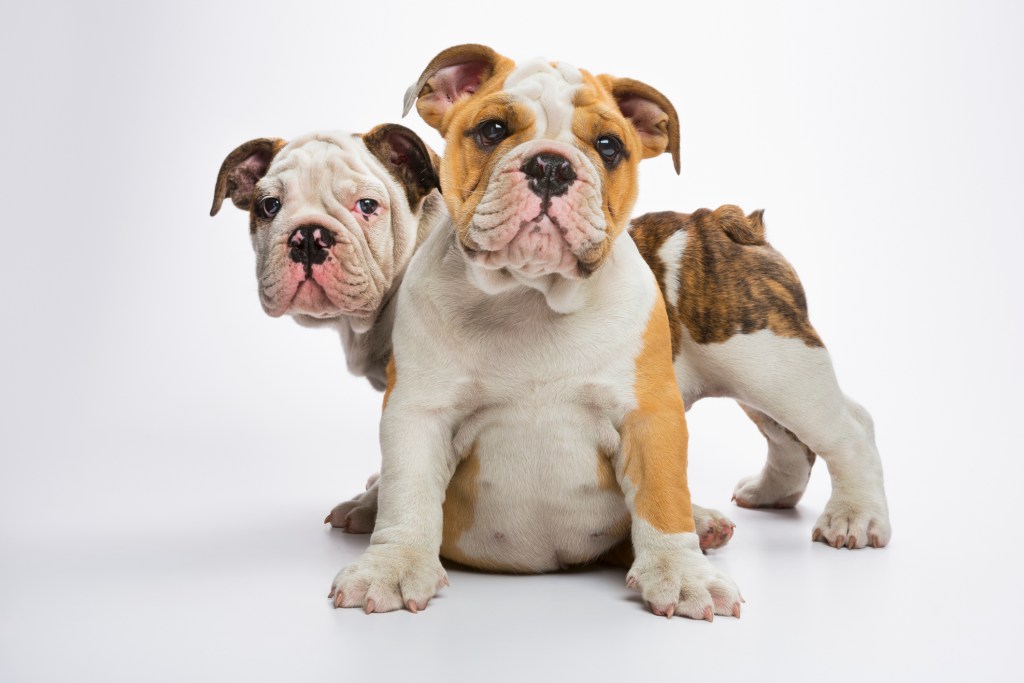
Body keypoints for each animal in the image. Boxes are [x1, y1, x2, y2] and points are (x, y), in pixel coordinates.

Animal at [333, 42, 745, 618]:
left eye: (608, 146)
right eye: (491, 130)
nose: (550, 164)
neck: (529, 297)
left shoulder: (650, 414)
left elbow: (663, 499)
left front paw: (683, 573)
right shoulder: (417, 412)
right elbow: (408, 493)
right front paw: (392, 566)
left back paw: (703, 524)